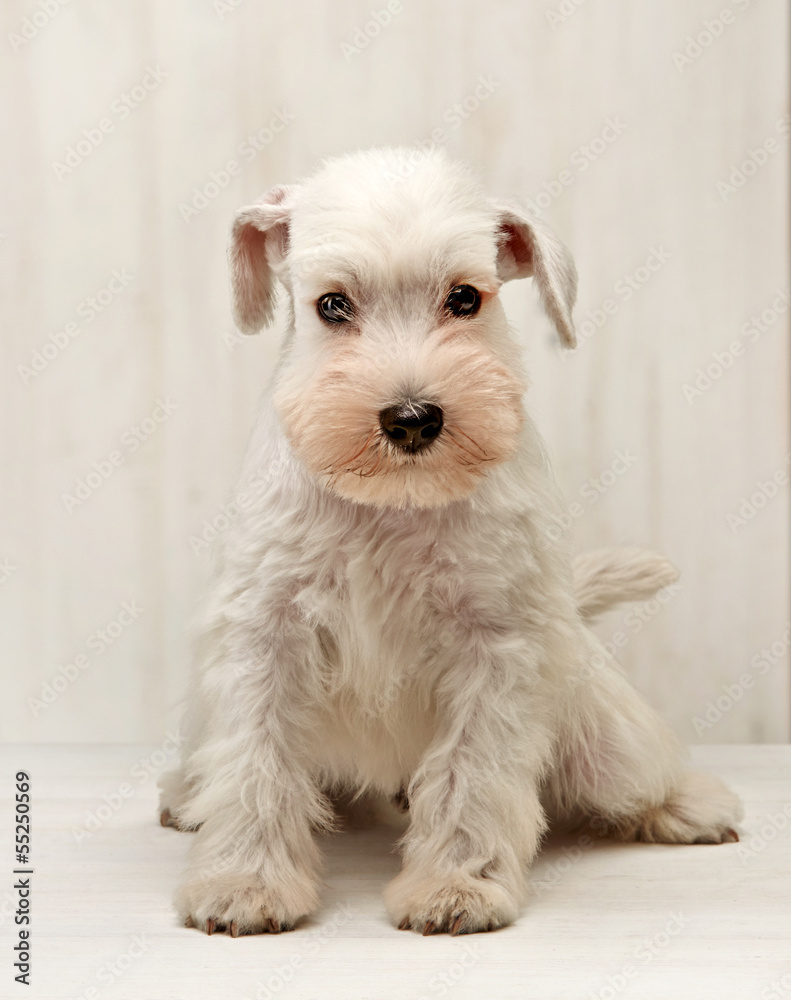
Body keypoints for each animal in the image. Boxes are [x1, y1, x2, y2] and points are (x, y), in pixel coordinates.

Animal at [161, 146, 744, 936]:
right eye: (331, 305)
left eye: (466, 299)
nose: (411, 418)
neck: (394, 503)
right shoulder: (264, 636)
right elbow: (256, 763)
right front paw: (244, 881)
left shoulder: (496, 648)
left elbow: (473, 772)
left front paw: (455, 886)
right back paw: (185, 794)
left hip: (606, 740)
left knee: (641, 774)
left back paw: (691, 805)